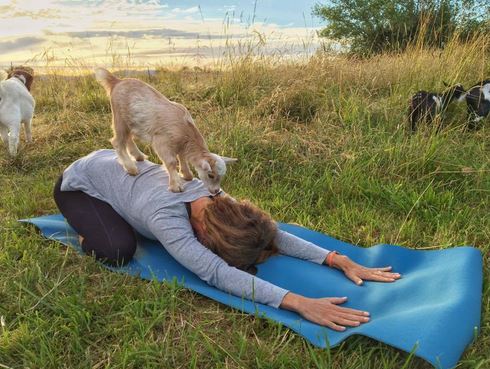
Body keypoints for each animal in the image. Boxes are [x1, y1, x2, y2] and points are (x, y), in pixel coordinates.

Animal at [94, 69, 236, 196]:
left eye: (222, 176)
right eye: (210, 175)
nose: (216, 191)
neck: (185, 131)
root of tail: (117, 81)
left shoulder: (181, 145)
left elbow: (182, 157)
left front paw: (187, 175)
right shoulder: (161, 141)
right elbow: (171, 162)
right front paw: (176, 186)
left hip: (130, 122)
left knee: (128, 138)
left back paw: (138, 156)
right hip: (119, 118)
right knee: (117, 141)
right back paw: (131, 168)